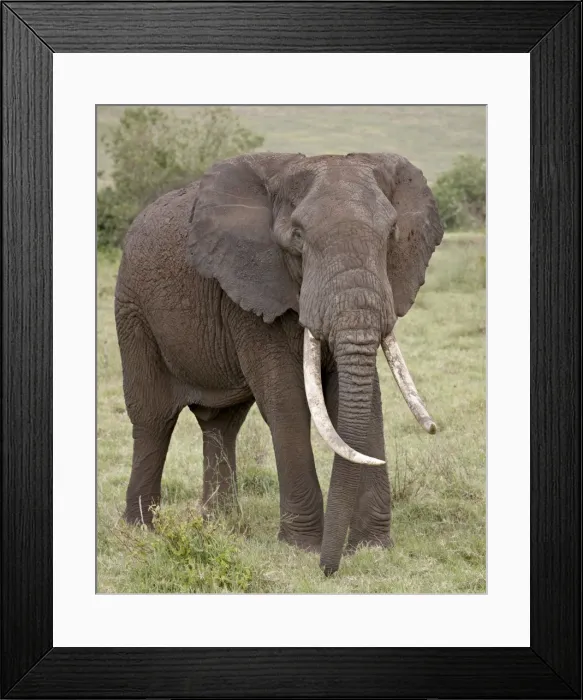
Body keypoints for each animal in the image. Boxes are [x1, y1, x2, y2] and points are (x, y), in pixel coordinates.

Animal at [114, 152, 443, 576]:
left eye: (391, 234)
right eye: (298, 236)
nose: (328, 570)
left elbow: (364, 402)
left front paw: (372, 548)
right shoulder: (250, 289)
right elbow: (287, 403)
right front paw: (302, 547)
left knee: (221, 422)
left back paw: (221, 526)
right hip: (132, 309)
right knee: (153, 418)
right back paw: (142, 529)